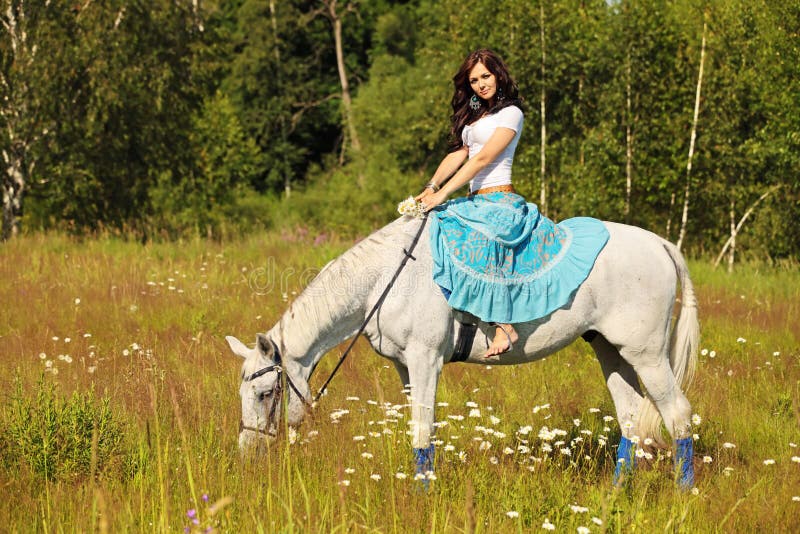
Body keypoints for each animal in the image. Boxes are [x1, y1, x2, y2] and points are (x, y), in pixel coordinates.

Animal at [226, 214, 699, 487]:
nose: (247, 452)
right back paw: (615, 493)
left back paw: (685, 492)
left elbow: (422, 430)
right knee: (631, 417)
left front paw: (424, 495)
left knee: (677, 413)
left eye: (265, 394)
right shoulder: (405, 368)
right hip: (610, 349)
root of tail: (659, 243)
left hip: (647, 354)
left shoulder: (425, 360)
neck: (386, 279)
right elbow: (418, 430)